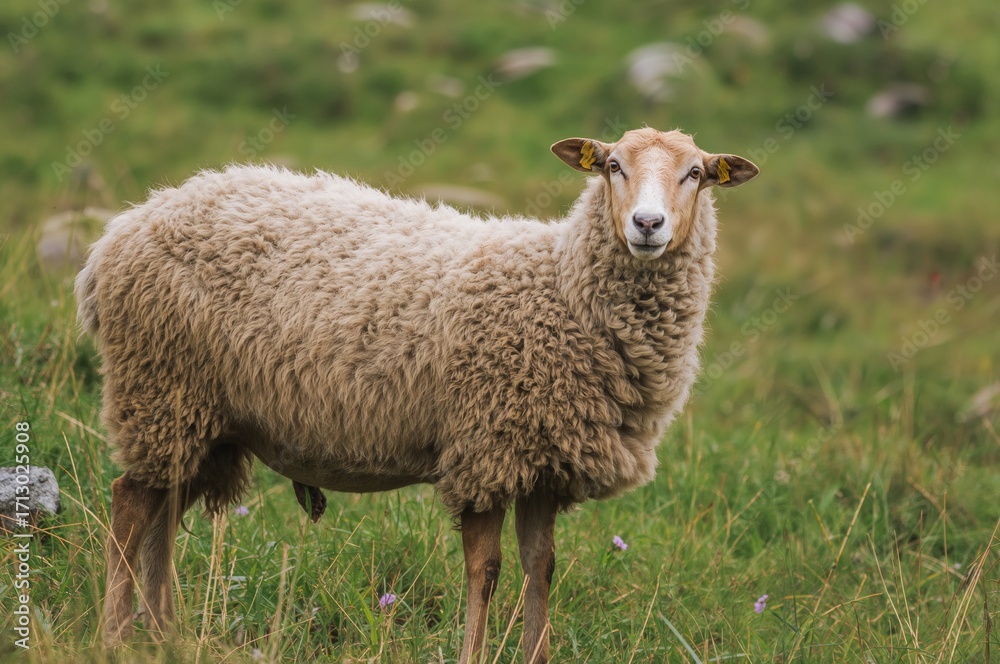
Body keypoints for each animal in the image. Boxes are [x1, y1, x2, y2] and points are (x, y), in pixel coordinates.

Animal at [76, 127, 758, 663]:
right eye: (614, 165)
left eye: (697, 174)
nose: (648, 225)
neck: (561, 285)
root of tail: (120, 232)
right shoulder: (486, 447)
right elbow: (486, 572)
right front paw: (473, 654)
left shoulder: (542, 461)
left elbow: (540, 569)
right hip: (160, 388)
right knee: (129, 506)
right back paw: (115, 637)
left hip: (202, 418)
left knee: (163, 514)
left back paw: (163, 636)